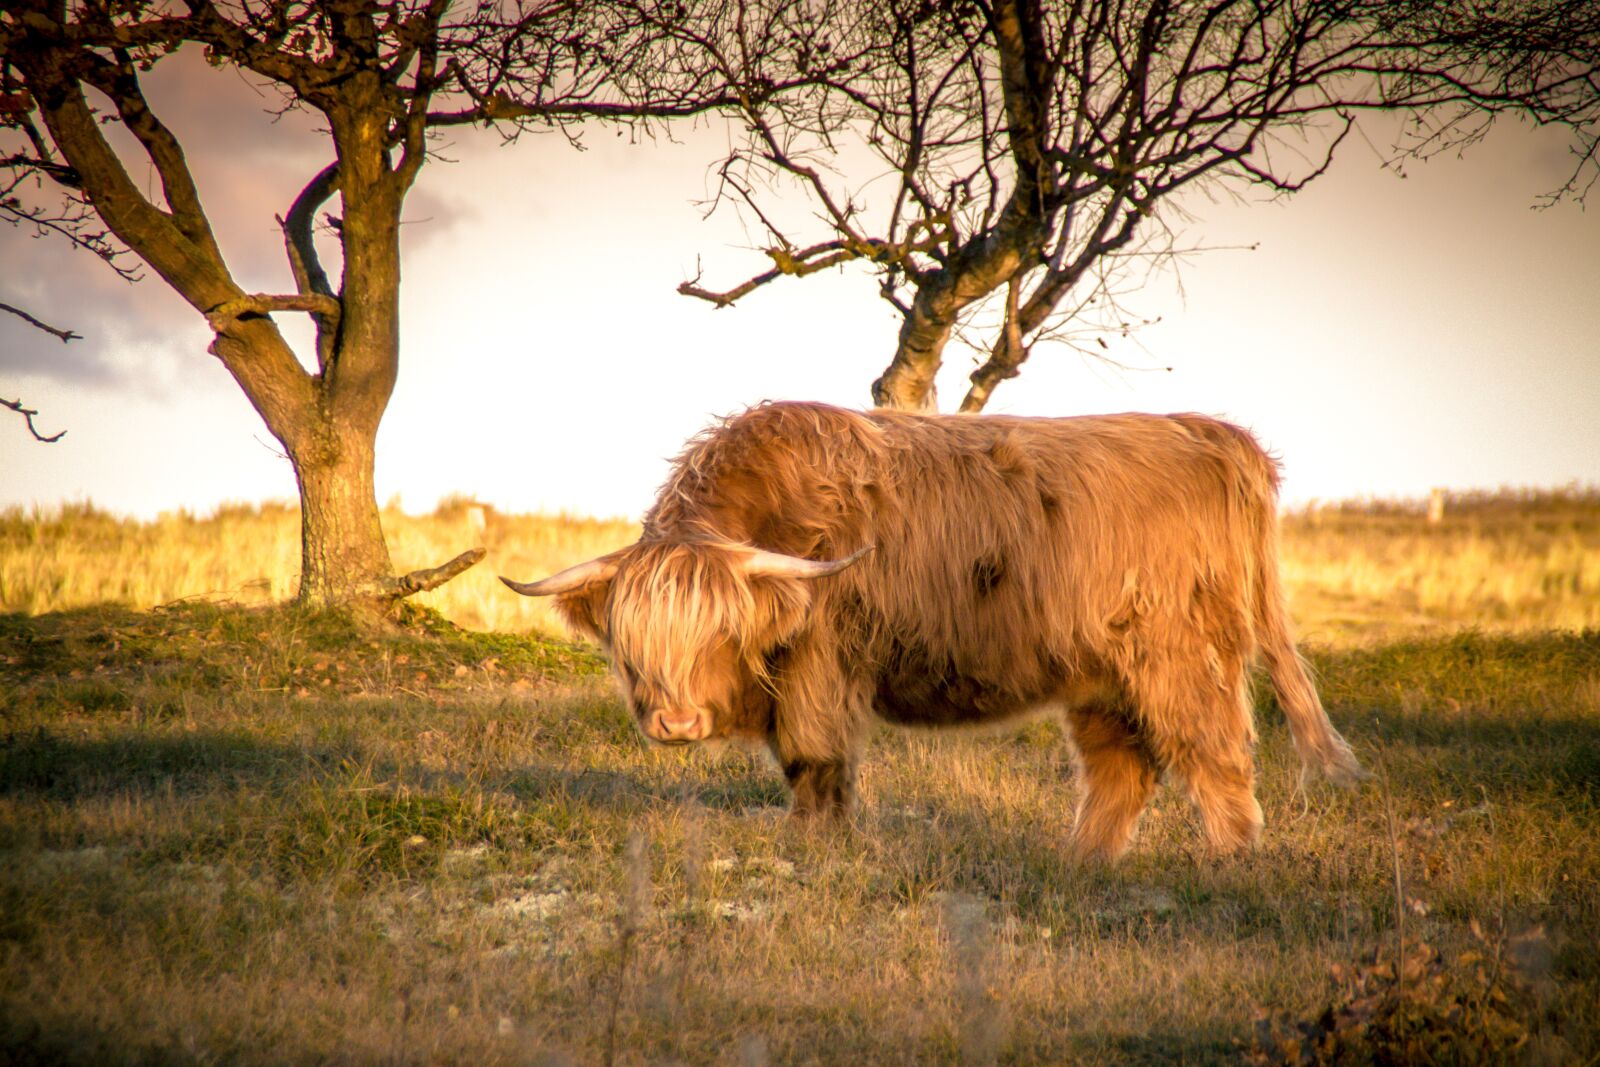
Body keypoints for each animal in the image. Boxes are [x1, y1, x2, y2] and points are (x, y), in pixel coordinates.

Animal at [501, 401, 1363, 860]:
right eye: (633, 640)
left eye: (719, 632)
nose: (676, 722)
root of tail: (1208, 431)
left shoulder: (820, 663)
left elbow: (813, 759)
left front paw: (813, 844)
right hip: (1102, 674)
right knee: (1121, 768)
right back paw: (1082, 862)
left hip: (1178, 655)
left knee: (1213, 753)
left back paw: (1229, 860)